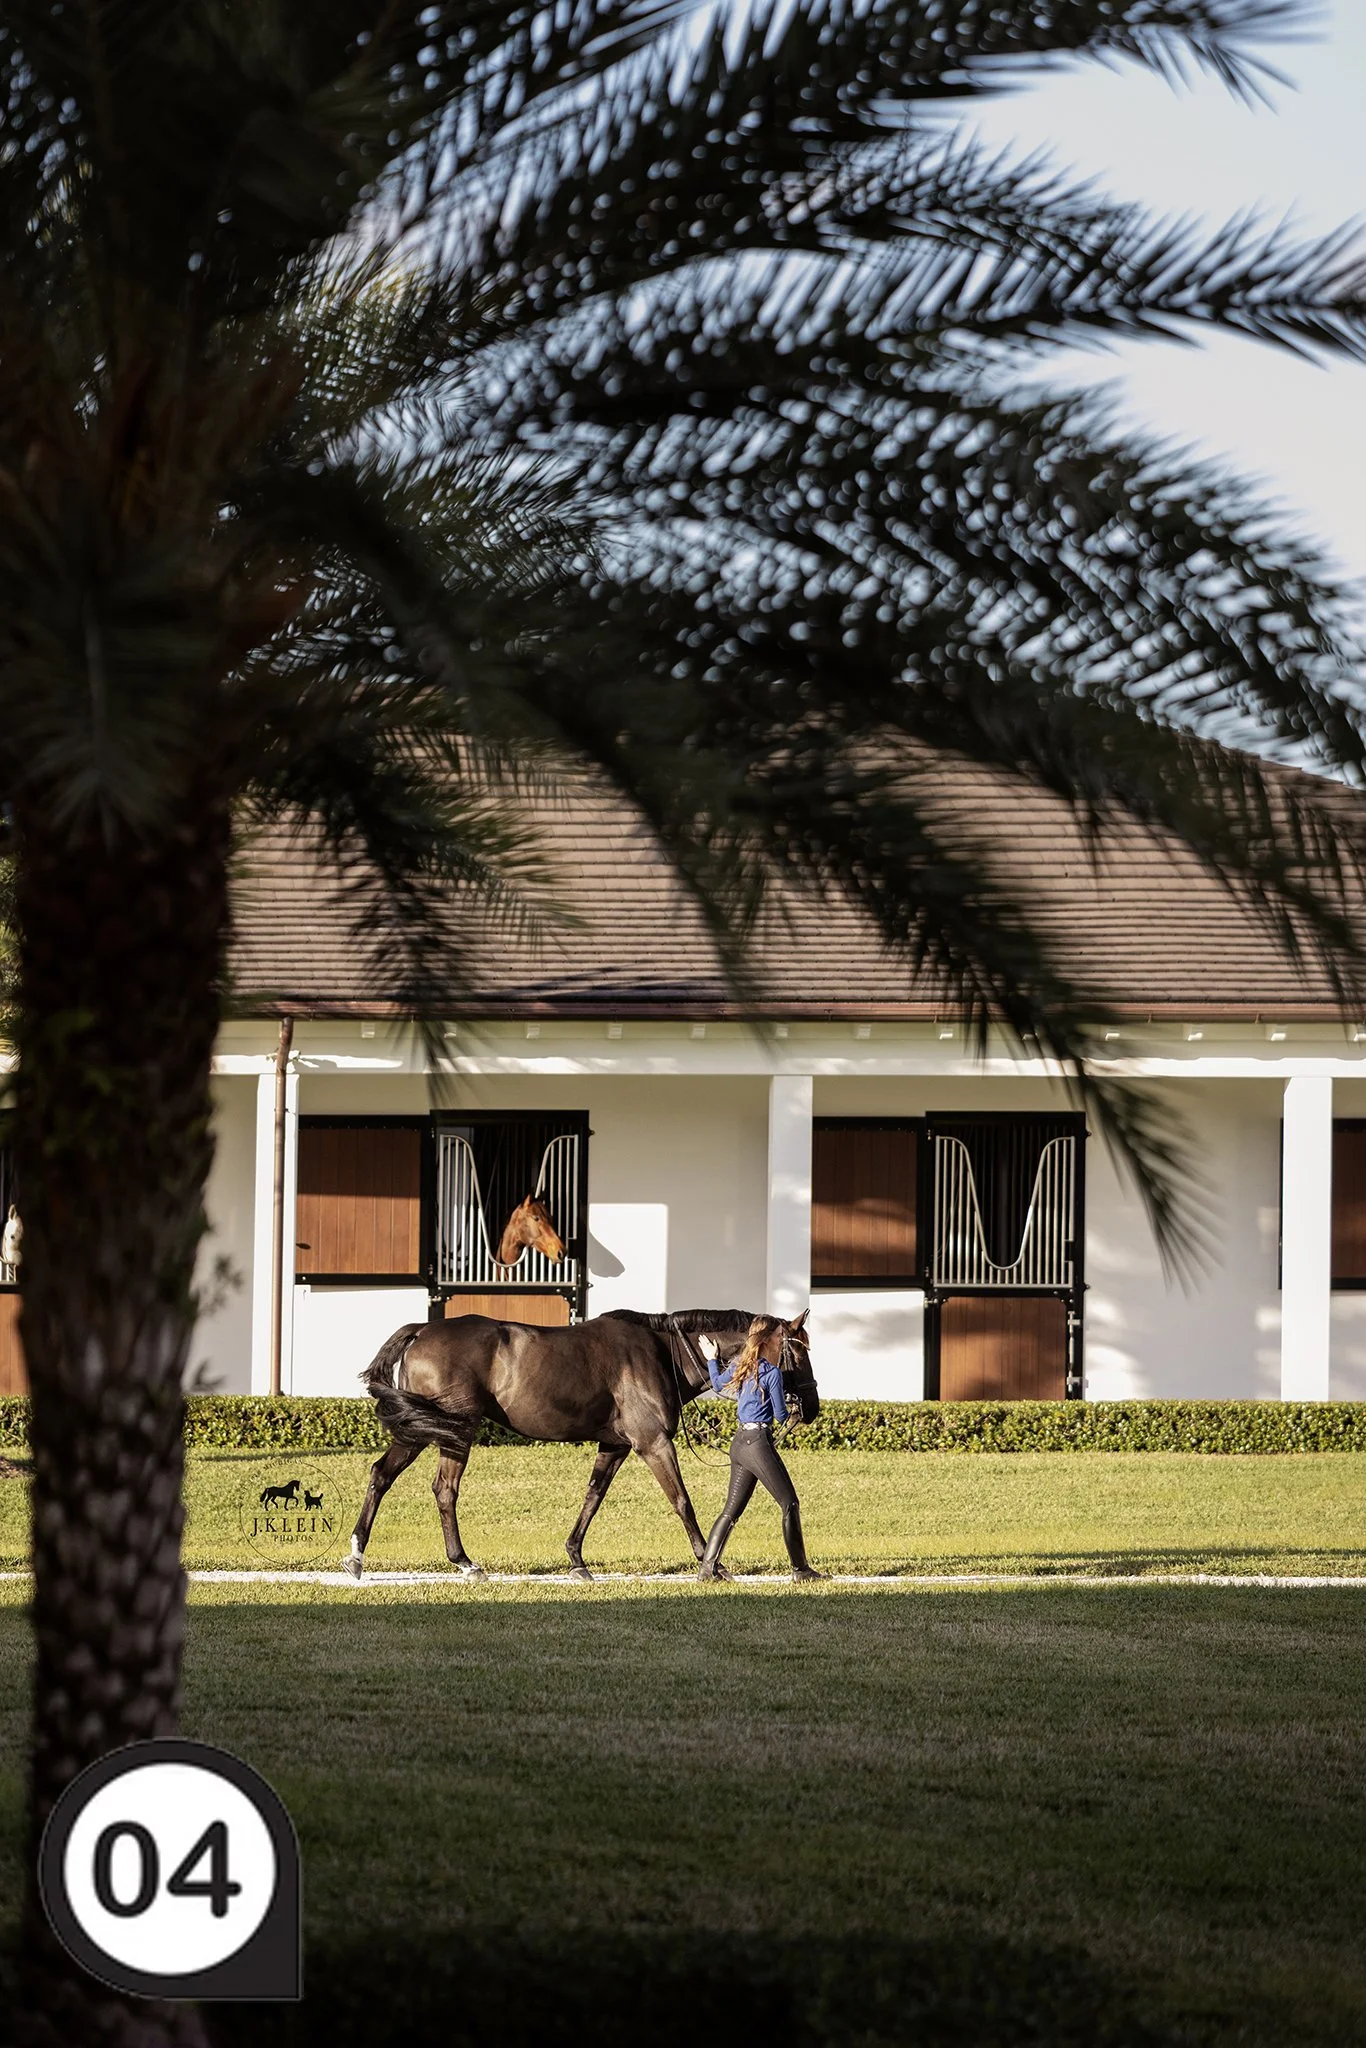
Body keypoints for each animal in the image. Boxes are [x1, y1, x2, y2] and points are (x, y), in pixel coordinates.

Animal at [343, 1307, 813, 1581]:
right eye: (800, 1351)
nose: (810, 1406)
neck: (663, 1352)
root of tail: (422, 1329)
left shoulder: (615, 1446)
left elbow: (593, 1498)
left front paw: (576, 1559)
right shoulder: (652, 1443)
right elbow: (682, 1501)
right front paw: (709, 1563)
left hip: (424, 1429)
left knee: (382, 1474)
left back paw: (357, 1557)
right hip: (452, 1430)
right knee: (444, 1489)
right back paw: (464, 1562)